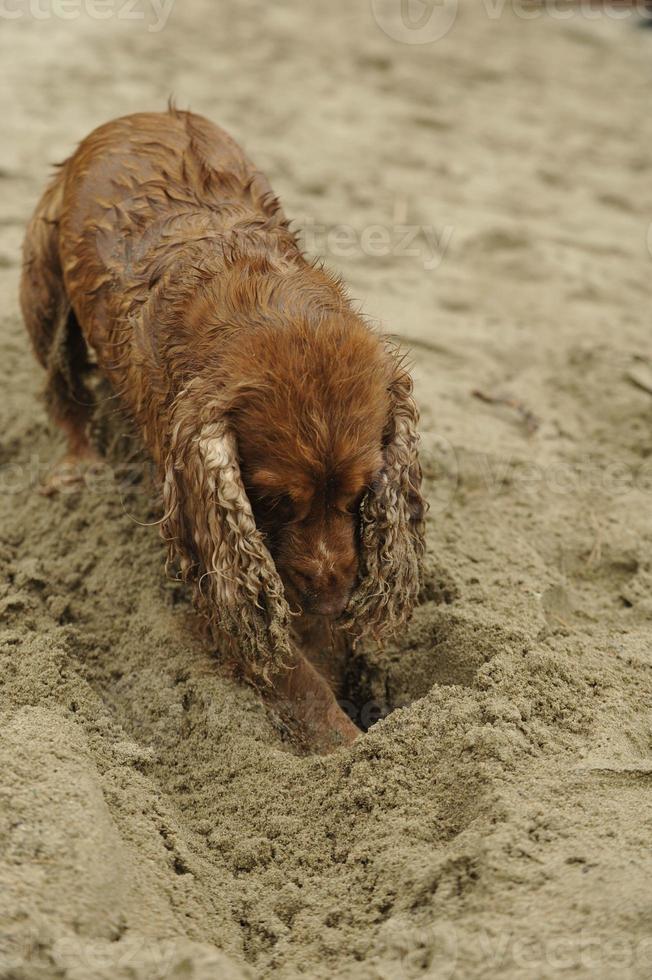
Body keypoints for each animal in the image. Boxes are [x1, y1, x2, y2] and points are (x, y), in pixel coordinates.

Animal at [20, 105, 426, 752]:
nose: (335, 597)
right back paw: (78, 468)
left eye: (362, 493)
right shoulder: (213, 542)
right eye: (271, 501)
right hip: (42, 288)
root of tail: (136, 115)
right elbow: (292, 670)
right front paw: (347, 744)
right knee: (64, 392)